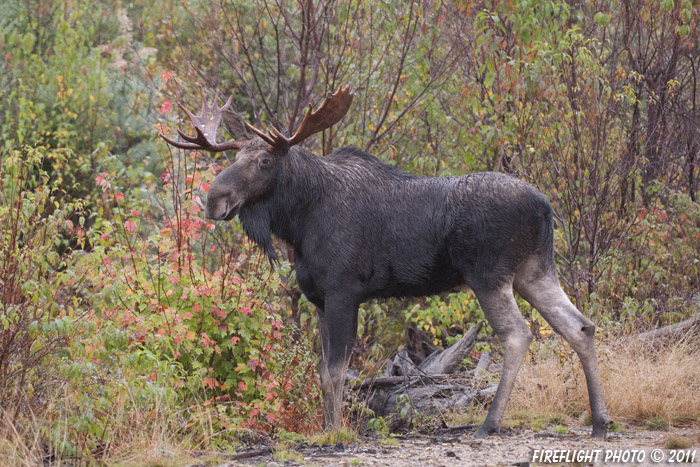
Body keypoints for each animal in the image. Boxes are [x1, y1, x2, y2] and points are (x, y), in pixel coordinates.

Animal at [161, 85, 608, 438]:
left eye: (265, 161)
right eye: (234, 158)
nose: (214, 200)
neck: (299, 223)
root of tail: (545, 206)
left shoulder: (344, 291)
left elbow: (336, 372)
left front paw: (335, 432)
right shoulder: (319, 298)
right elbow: (325, 372)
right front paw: (327, 427)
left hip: (489, 275)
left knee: (517, 334)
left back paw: (489, 424)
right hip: (533, 271)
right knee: (579, 326)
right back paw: (600, 422)